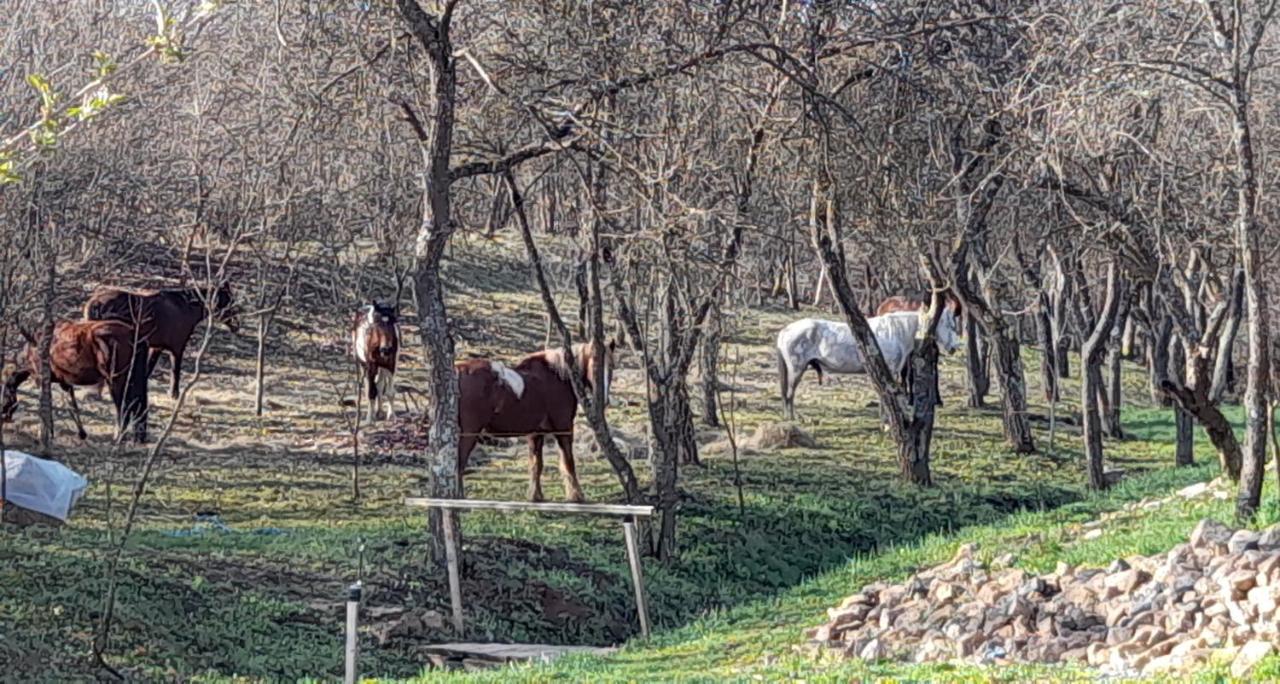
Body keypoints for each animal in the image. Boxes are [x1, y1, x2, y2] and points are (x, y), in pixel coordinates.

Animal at [1, 318, 149, 443]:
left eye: (4, 394)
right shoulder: (65, 383)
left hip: (116, 380)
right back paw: (137, 438)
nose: (5, 416)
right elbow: (72, 405)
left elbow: (45, 405)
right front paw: (81, 433)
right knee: (139, 403)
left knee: (123, 406)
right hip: (135, 377)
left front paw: (45, 434)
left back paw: (119, 437)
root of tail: (134, 333)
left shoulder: (41, 379)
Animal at [83, 284, 241, 402]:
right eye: (228, 303)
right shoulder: (177, 348)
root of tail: (95, 303)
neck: (186, 307)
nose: (236, 325)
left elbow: (148, 370)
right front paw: (174, 395)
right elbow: (175, 371)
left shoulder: (156, 348)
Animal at [458, 340, 616, 504]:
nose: (604, 400)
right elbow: (568, 462)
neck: (558, 376)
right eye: (595, 366)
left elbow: (536, 465)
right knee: (459, 464)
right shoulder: (564, 429)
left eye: (611, 366)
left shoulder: (536, 433)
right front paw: (576, 496)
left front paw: (536, 496)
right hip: (468, 434)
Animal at [773, 308, 962, 420]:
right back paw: (791, 419)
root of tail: (785, 331)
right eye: (950, 325)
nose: (954, 347)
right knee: (789, 394)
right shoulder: (889, 371)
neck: (895, 332)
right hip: (796, 370)